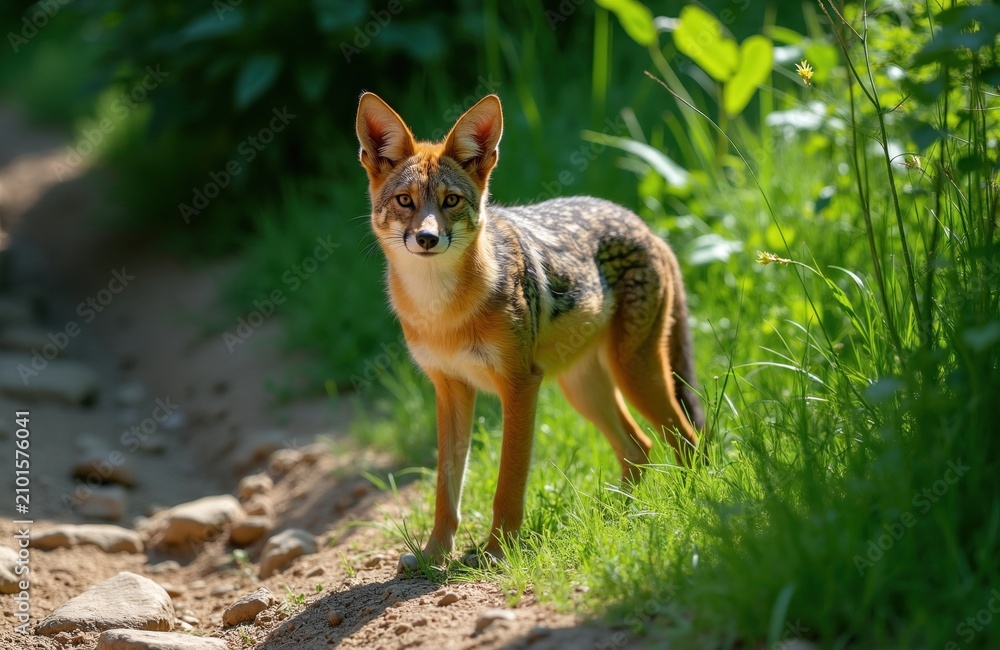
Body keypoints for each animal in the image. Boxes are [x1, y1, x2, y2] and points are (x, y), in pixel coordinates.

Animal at [355, 92, 704, 572]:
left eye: (450, 201)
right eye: (406, 201)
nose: (426, 238)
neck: (443, 313)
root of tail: (646, 226)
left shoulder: (520, 385)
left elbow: (508, 483)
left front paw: (497, 552)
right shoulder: (450, 390)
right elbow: (446, 490)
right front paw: (434, 555)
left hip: (635, 377)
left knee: (686, 441)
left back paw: (691, 506)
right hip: (586, 389)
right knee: (640, 448)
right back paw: (615, 517)